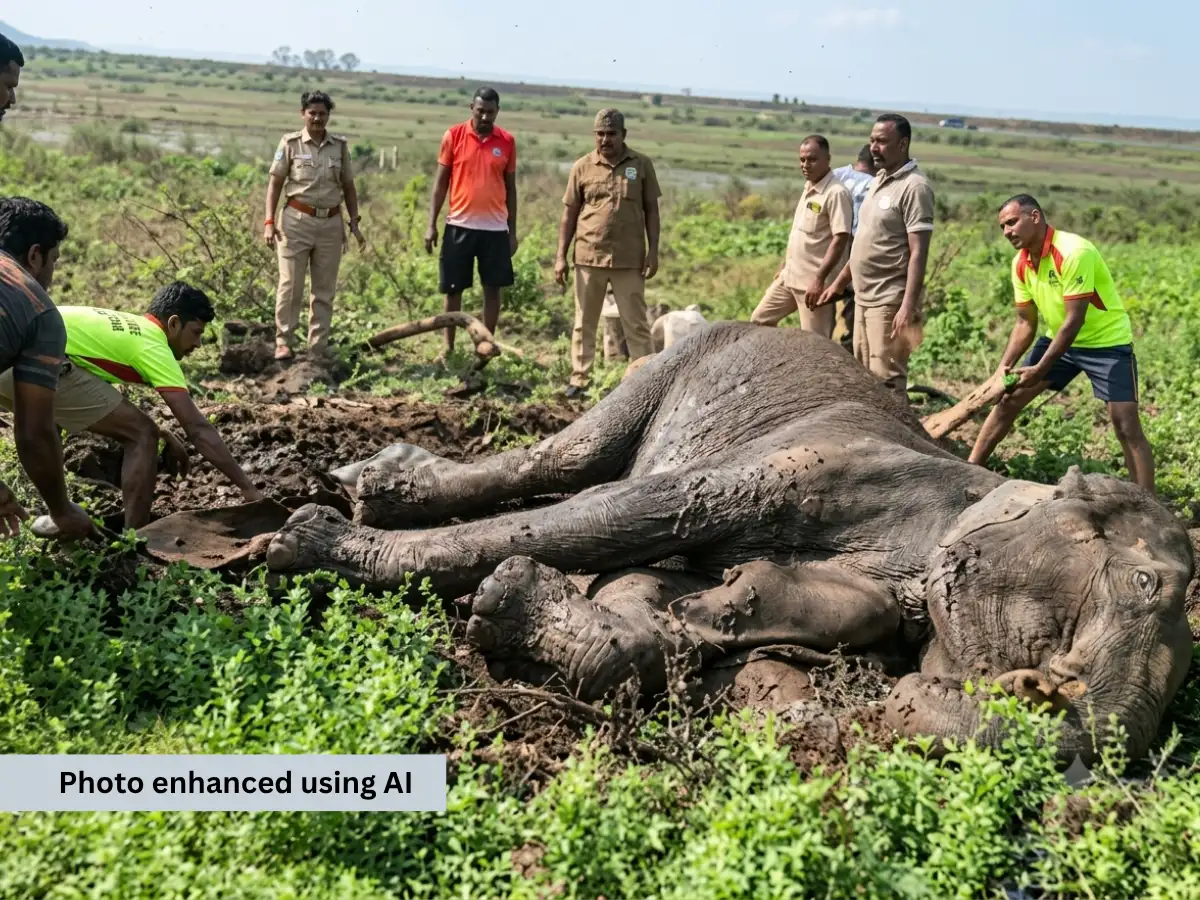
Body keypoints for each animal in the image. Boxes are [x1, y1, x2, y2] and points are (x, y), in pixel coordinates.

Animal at [265, 322, 1194, 765]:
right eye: (1146, 585)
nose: (1036, 689)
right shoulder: (814, 470)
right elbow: (629, 512)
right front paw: (308, 546)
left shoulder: (871, 604)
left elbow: (678, 604)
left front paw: (529, 609)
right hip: (678, 361)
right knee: (567, 461)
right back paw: (359, 496)